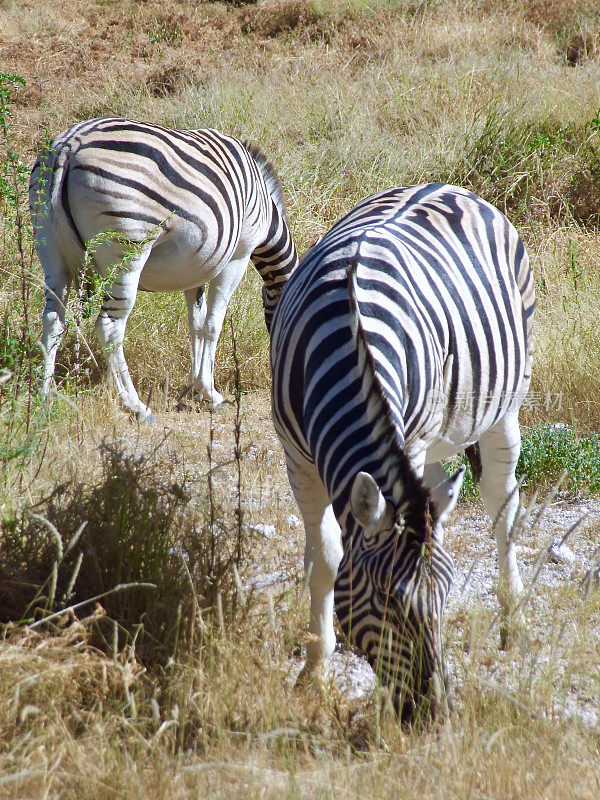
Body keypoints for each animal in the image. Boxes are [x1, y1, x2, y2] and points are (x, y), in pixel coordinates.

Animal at [29, 117, 298, 424]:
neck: (264, 208)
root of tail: (69, 145)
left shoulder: (196, 267)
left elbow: (196, 324)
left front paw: (196, 387)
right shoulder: (237, 257)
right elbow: (212, 324)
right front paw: (212, 394)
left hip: (49, 247)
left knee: (52, 320)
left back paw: (45, 398)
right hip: (127, 245)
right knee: (109, 327)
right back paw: (136, 406)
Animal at [272, 184, 536, 720]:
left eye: (447, 598)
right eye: (389, 602)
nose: (434, 713)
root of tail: (447, 186)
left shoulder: (407, 444)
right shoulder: (297, 457)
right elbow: (326, 558)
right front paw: (315, 669)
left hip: (504, 406)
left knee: (502, 503)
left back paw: (513, 621)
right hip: (437, 437)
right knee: (441, 494)